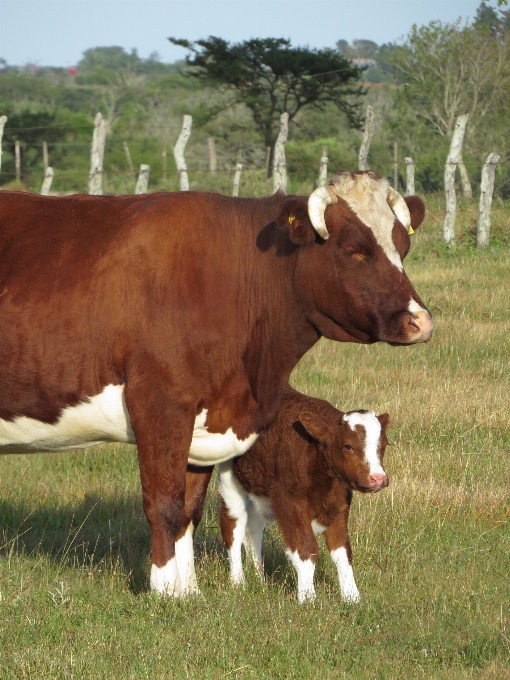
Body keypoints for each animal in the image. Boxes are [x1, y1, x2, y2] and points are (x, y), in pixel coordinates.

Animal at [217, 386, 388, 604]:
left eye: (384, 445)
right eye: (347, 446)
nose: (378, 478)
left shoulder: (339, 504)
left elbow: (342, 551)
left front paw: (352, 597)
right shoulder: (290, 503)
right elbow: (306, 548)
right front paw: (308, 598)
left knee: (253, 528)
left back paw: (259, 580)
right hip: (229, 477)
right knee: (233, 525)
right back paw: (239, 583)